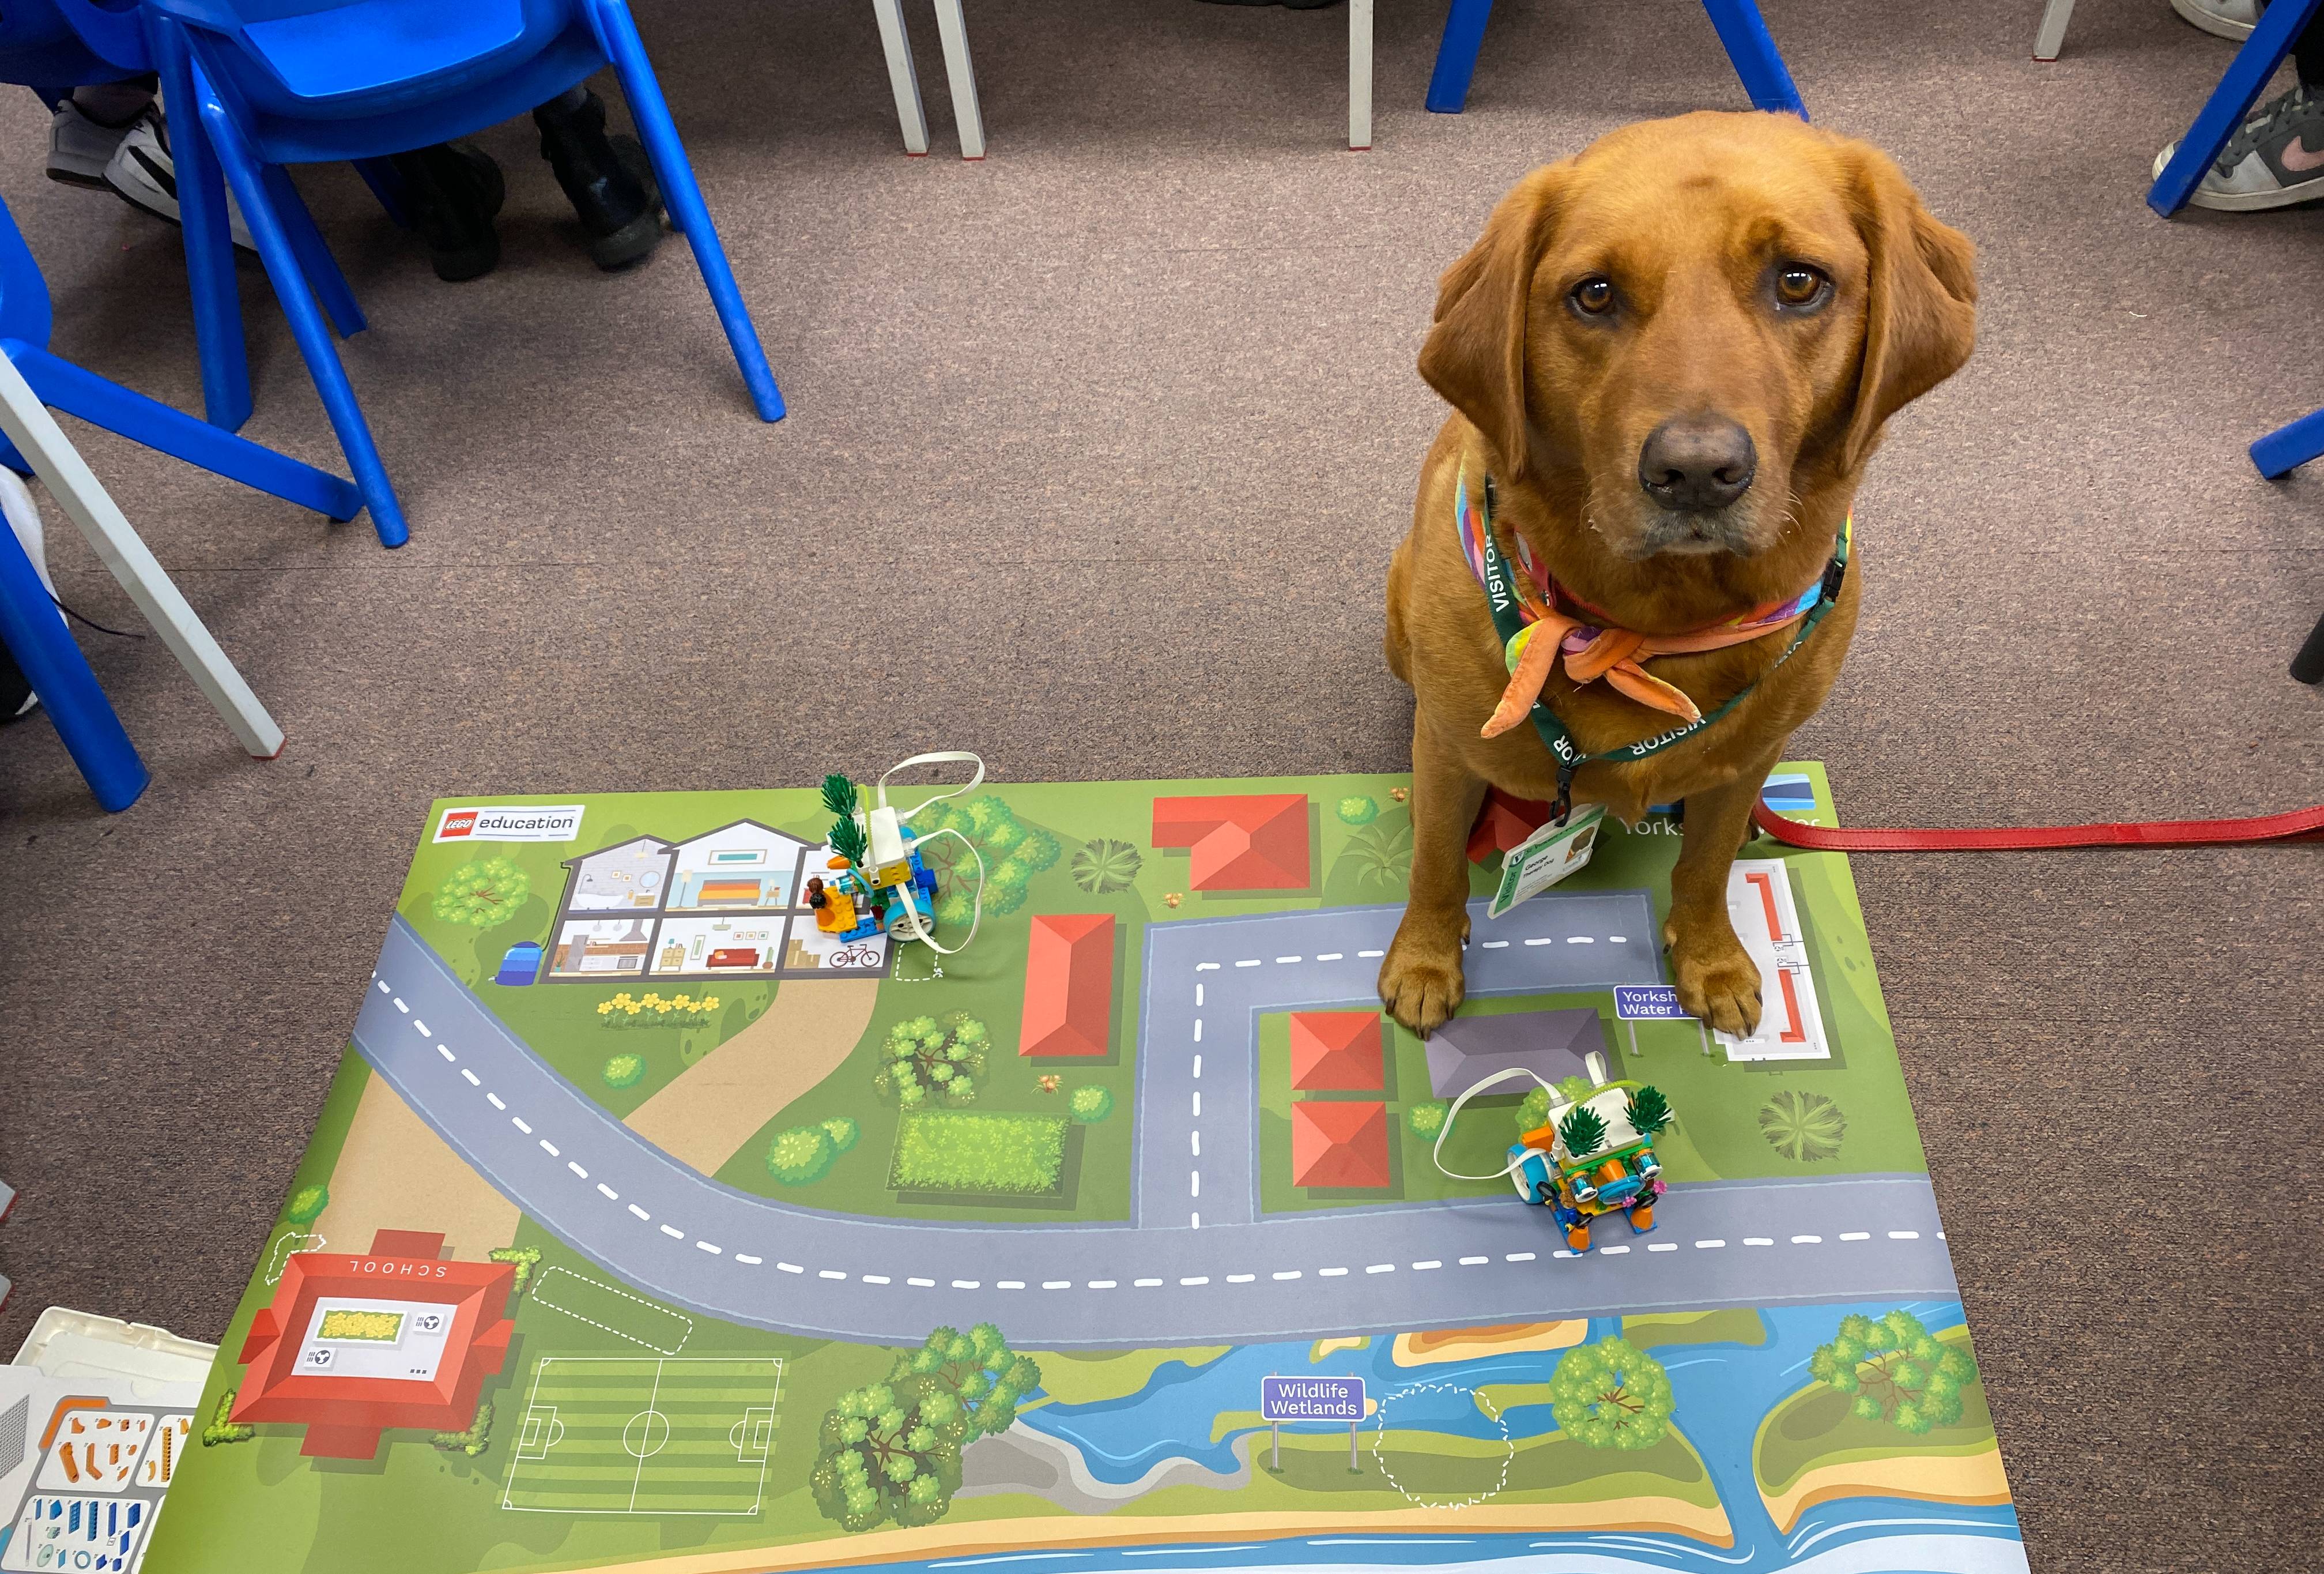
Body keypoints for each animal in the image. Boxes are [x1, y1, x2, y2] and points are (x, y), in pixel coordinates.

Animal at [1375, 113, 1980, 1041]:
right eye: (1594, 295)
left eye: (1799, 282)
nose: (1696, 472)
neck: (1645, 628)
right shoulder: (1444, 749)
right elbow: (1435, 863)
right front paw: (1424, 961)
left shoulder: (1750, 764)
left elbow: (1706, 867)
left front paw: (1711, 957)